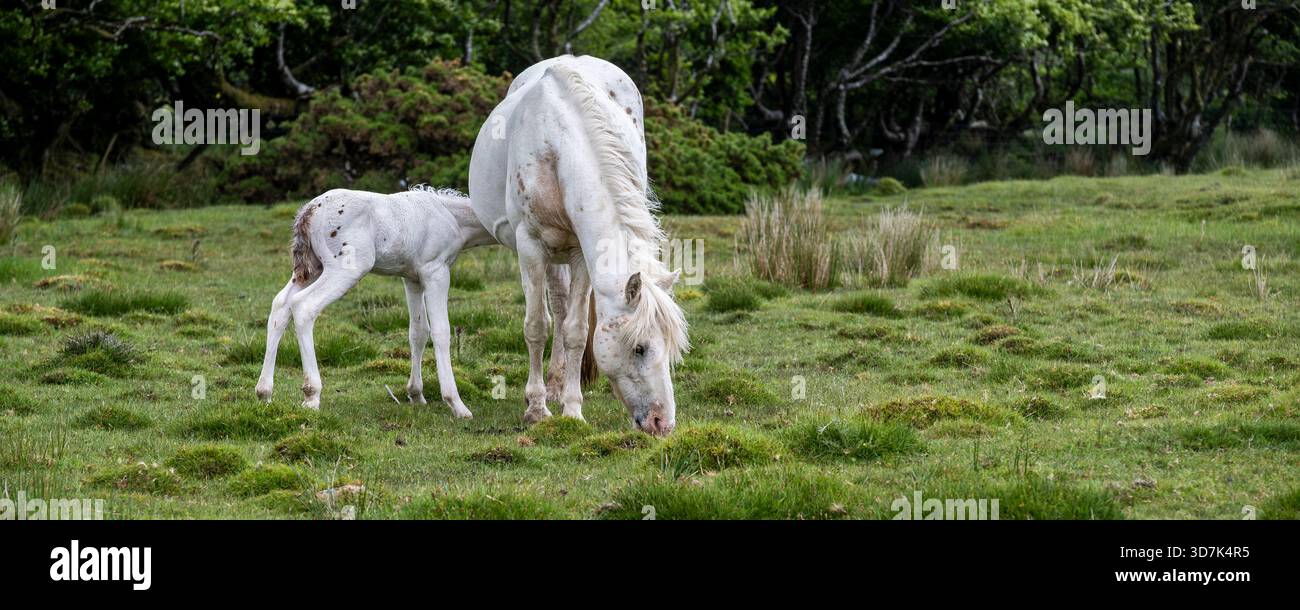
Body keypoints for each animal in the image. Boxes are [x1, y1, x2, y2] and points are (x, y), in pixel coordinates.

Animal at [254, 186, 496, 416]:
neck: (450, 215)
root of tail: (309, 211)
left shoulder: (412, 278)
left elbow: (418, 332)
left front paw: (416, 395)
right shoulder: (435, 272)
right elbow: (440, 331)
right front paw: (456, 404)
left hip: (312, 268)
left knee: (281, 305)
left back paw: (264, 393)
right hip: (346, 269)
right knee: (303, 306)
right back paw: (311, 395)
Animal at [468, 55, 688, 436]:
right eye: (640, 348)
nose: (663, 423)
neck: (557, 147)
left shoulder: (581, 254)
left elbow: (575, 329)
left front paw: (572, 410)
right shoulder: (531, 247)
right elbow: (536, 326)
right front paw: (536, 409)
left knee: (563, 312)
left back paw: (559, 388)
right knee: (553, 308)